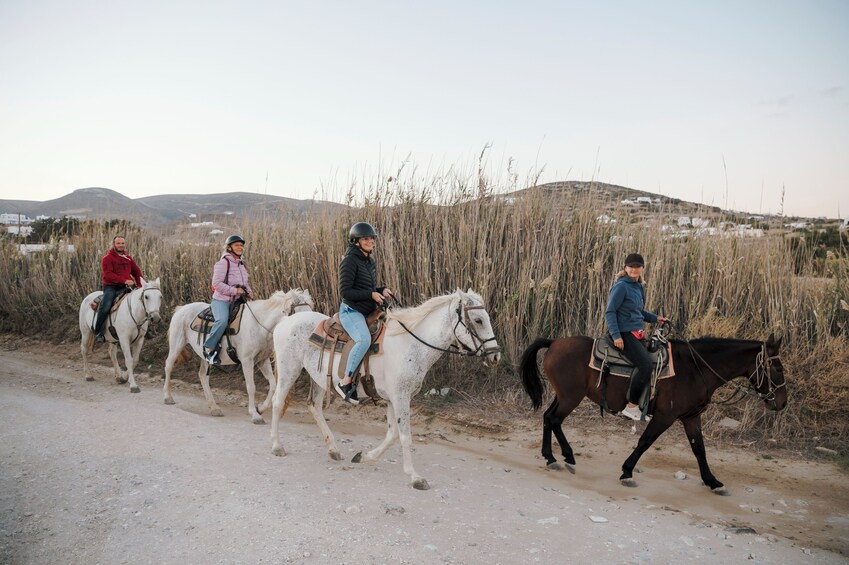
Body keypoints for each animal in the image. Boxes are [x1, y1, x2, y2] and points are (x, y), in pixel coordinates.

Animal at [163, 288, 314, 420]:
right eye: (298, 314)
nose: (308, 340)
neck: (258, 324)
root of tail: (181, 309)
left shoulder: (262, 360)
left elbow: (272, 385)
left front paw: (261, 408)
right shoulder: (247, 361)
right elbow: (251, 387)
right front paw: (254, 414)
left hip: (204, 355)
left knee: (203, 376)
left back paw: (214, 408)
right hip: (177, 344)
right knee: (169, 366)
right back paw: (168, 397)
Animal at [268, 290, 500, 490]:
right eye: (478, 320)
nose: (496, 354)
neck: (409, 344)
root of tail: (286, 322)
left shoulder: (392, 399)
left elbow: (392, 435)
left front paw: (363, 457)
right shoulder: (401, 397)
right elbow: (405, 436)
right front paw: (415, 478)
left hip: (317, 378)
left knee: (314, 407)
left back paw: (333, 450)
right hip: (289, 370)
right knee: (278, 403)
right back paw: (277, 446)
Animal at [516, 332, 788, 492]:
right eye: (778, 369)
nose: (782, 403)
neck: (696, 369)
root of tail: (554, 343)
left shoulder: (691, 417)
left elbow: (699, 449)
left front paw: (712, 481)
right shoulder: (665, 417)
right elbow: (645, 441)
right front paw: (627, 471)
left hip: (564, 396)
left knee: (549, 419)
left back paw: (556, 456)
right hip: (570, 397)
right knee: (553, 419)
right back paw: (559, 457)